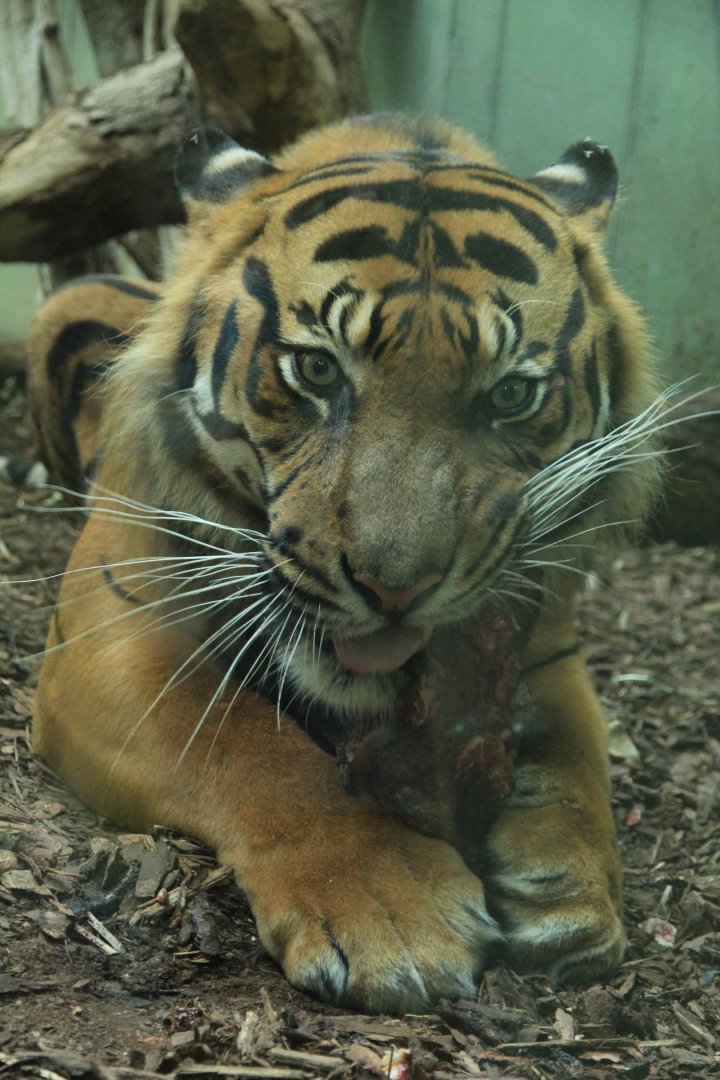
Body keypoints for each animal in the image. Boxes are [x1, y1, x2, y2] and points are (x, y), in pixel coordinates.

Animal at [27, 114, 662, 1014]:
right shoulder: (111, 639)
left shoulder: (547, 646)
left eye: (510, 395)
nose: (396, 590)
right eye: (317, 369)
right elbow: (254, 750)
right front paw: (393, 911)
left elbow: (583, 760)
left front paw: (570, 892)